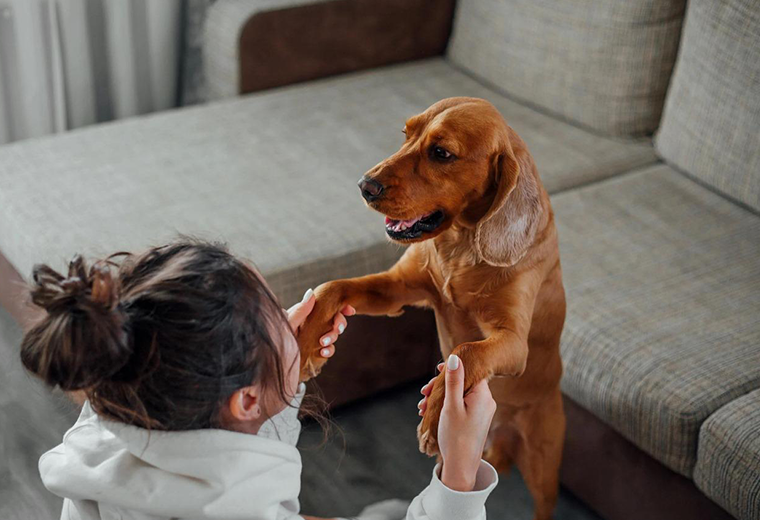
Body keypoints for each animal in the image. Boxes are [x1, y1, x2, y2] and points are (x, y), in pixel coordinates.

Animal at [296, 97, 564, 520]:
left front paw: (437, 413)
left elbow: (467, 352)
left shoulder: (513, 341)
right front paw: (307, 342)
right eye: (405, 134)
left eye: (441, 153)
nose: (364, 186)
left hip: (543, 465)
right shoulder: (397, 290)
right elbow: (333, 287)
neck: (461, 245)